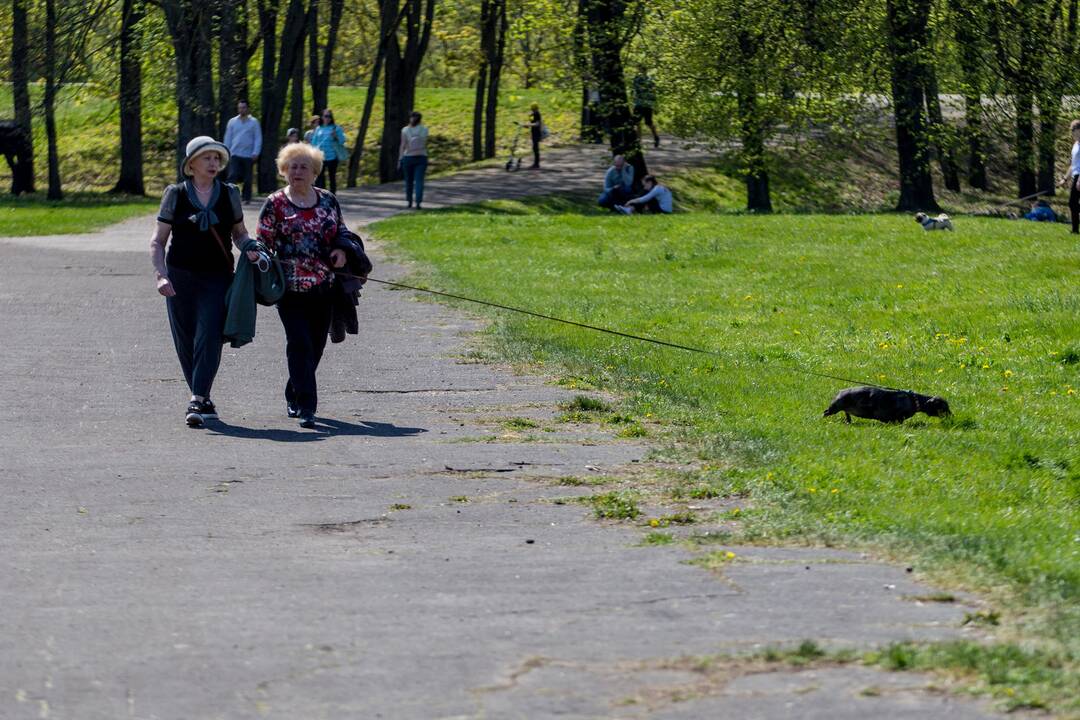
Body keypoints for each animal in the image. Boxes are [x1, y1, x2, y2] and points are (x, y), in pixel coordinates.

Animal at [820, 386, 950, 425]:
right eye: (944, 407)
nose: (951, 416)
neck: (914, 400)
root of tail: (840, 392)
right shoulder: (899, 417)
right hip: (834, 408)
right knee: (825, 412)